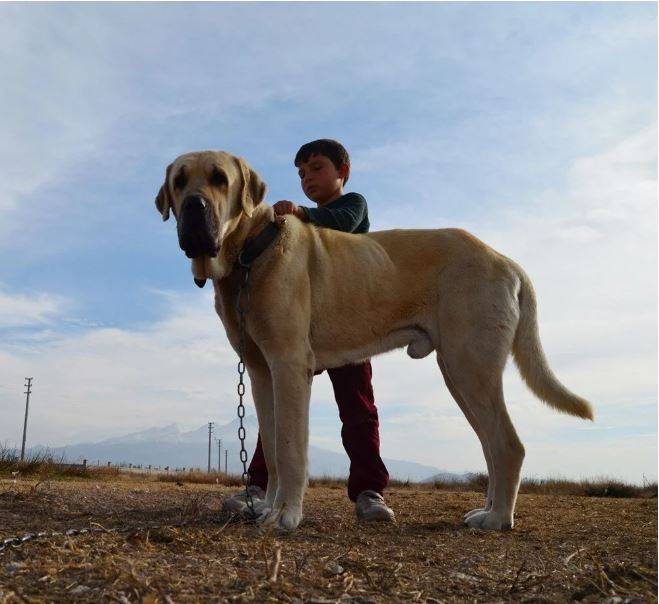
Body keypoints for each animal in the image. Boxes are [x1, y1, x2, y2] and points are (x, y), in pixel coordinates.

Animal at [155, 150, 592, 528]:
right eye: (179, 181)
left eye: (219, 178)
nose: (194, 206)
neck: (249, 252)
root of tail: (506, 261)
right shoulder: (263, 372)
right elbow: (273, 448)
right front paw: (265, 506)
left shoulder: (289, 365)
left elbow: (290, 448)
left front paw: (285, 516)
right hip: (459, 373)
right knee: (491, 444)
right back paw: (487, 510)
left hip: (470, 366)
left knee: (508, 445)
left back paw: (498, 518)